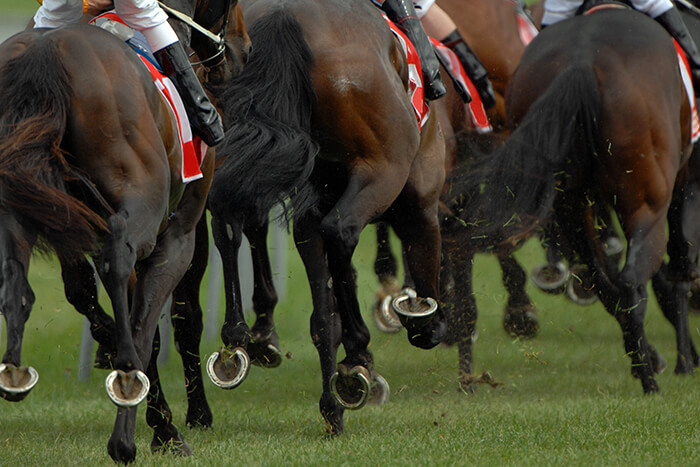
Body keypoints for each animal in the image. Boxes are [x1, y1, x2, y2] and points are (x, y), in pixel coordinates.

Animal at [0, 0, 249, 462]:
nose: (243, 49)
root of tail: (46, 54)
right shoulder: (181, 232)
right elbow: (159, 321)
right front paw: (163, 428)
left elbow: (99, 301)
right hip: (142, 203)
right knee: (117, 254)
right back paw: (128, 382)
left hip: (22, 202)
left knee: (14, 275)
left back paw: (13, 368)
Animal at [204, 0, 446, 435]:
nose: (430, 331)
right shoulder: (420, 194)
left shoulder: (308, 208)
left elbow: (322, 310)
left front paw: (334, 399)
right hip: (383, 169)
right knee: (341, 230)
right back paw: (361, 350)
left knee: (230, 216)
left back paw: (239, 340)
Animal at [445, 6, 699, 393]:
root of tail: (581, 61)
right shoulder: (684, 180)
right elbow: (679, 265)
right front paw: (686, 360)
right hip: (644, 200)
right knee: (631, 282)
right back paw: (650, 379)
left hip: (570, 205)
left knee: (607, 284)